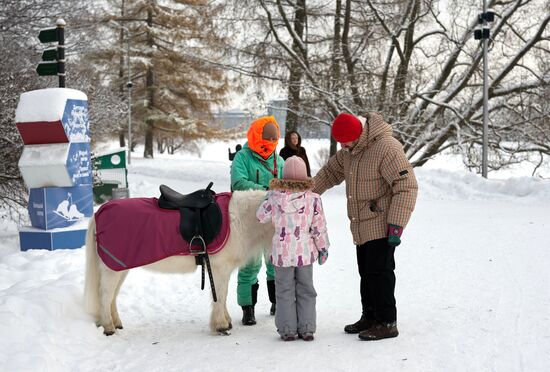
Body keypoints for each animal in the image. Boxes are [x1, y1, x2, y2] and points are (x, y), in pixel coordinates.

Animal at [84, 190, 274, 336]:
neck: (237, 220)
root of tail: (99, 213)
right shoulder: (220, 270)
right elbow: (220, 296)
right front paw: (221, 326)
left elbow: (223, 296)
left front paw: (225, 322)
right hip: (111, 270)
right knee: (105, 295)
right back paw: (109, 328)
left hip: (120, 267)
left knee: (112, 296)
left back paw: (116, 323)